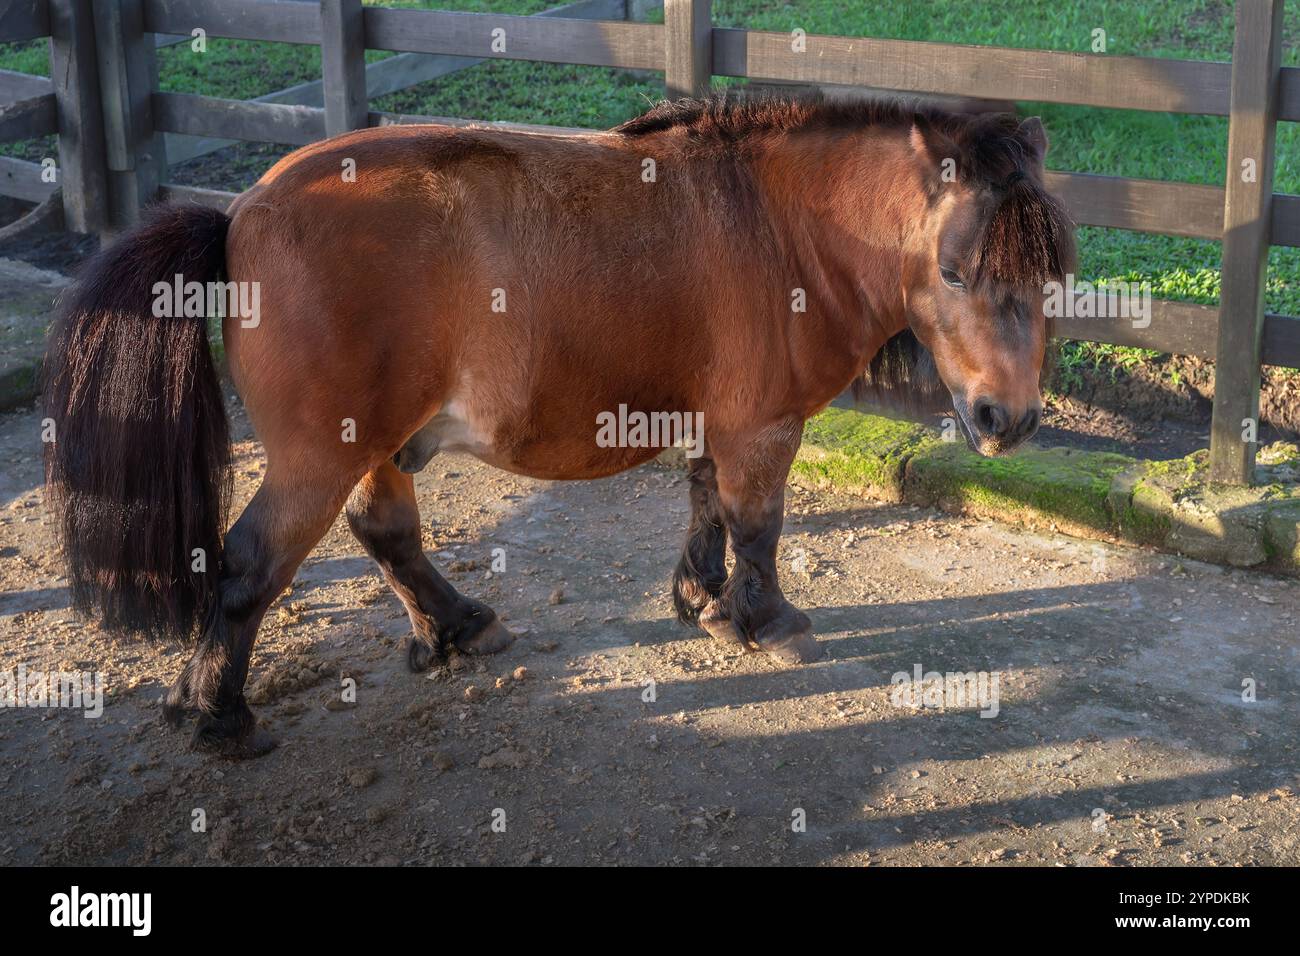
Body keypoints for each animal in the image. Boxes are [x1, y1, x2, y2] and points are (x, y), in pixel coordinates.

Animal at [42, 92, 1075, 758]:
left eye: (1050, 272)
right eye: (954, 271)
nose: (1009, 419)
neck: (782, 223)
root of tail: (239, 215)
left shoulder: (715, 417)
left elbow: (705, 503)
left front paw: (701, 601)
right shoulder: (762, 424)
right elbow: (757, 523)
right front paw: (765, 620)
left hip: (376, 444)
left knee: (386, 531)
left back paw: (456, 626)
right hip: (318, 453)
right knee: (253, 561)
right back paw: (215, 715)